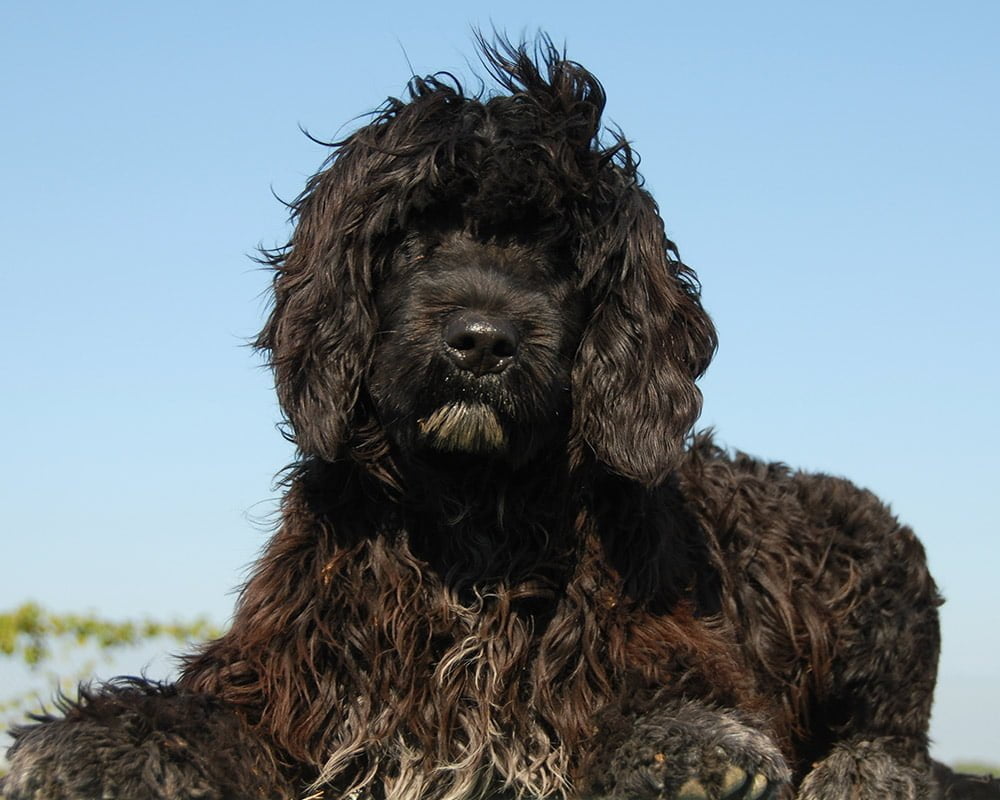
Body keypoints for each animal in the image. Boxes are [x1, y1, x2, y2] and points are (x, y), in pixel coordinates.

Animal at [1, 36, 992, 800]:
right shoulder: (291, 683)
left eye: (559, 250)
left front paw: (689, 752)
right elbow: (204, 715)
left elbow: (674, 700)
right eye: (412, 233)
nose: (481, 343)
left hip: (869, 572)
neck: (472, 521)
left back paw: (864, 769)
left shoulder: (662, 650)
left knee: (904, 742)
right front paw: (97, 742)